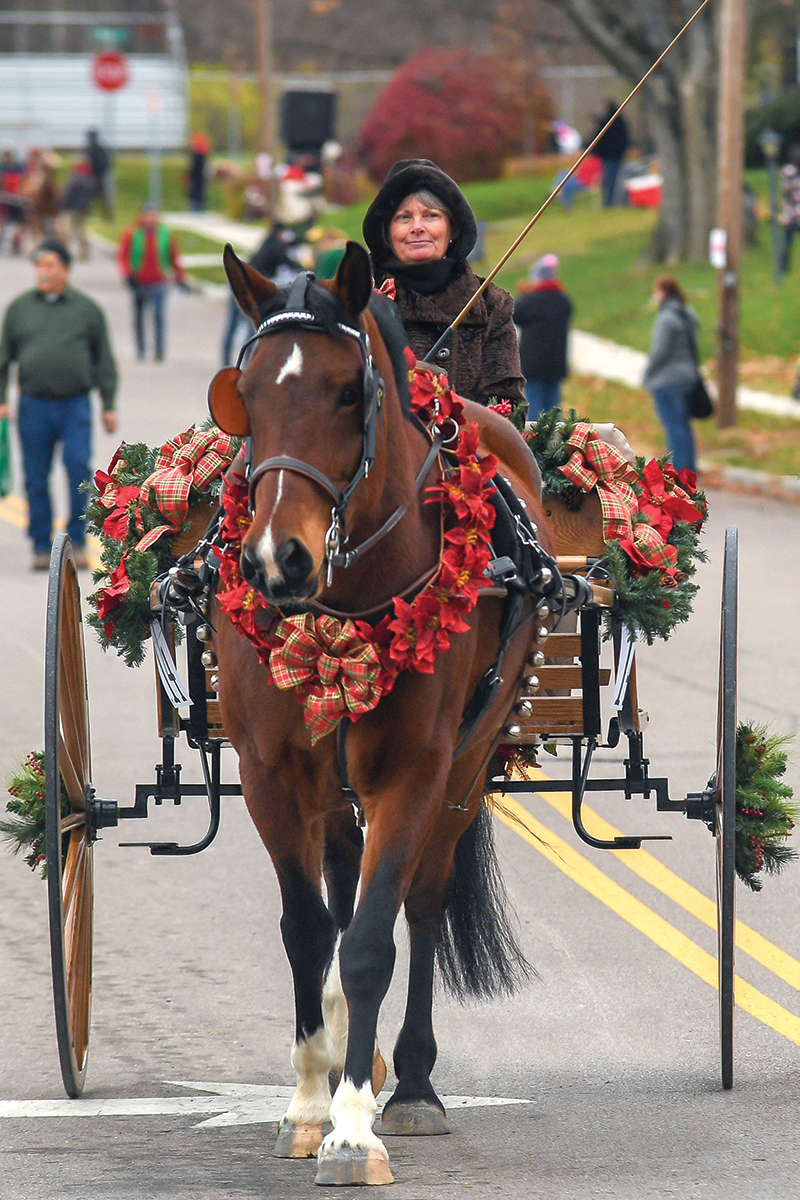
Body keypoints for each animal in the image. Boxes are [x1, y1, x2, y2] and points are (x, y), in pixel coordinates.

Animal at [209, 241, 554, 1180]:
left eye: (344, 392)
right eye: (245, 394)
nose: (276, 558)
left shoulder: (413, 770)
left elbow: (370, 941)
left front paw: (355, 1128)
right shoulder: (270, 773)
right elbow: (307, 931)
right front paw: (307, 1104)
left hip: (467, 764)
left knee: (422, 904)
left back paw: (415, 1084)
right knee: (339, 887)